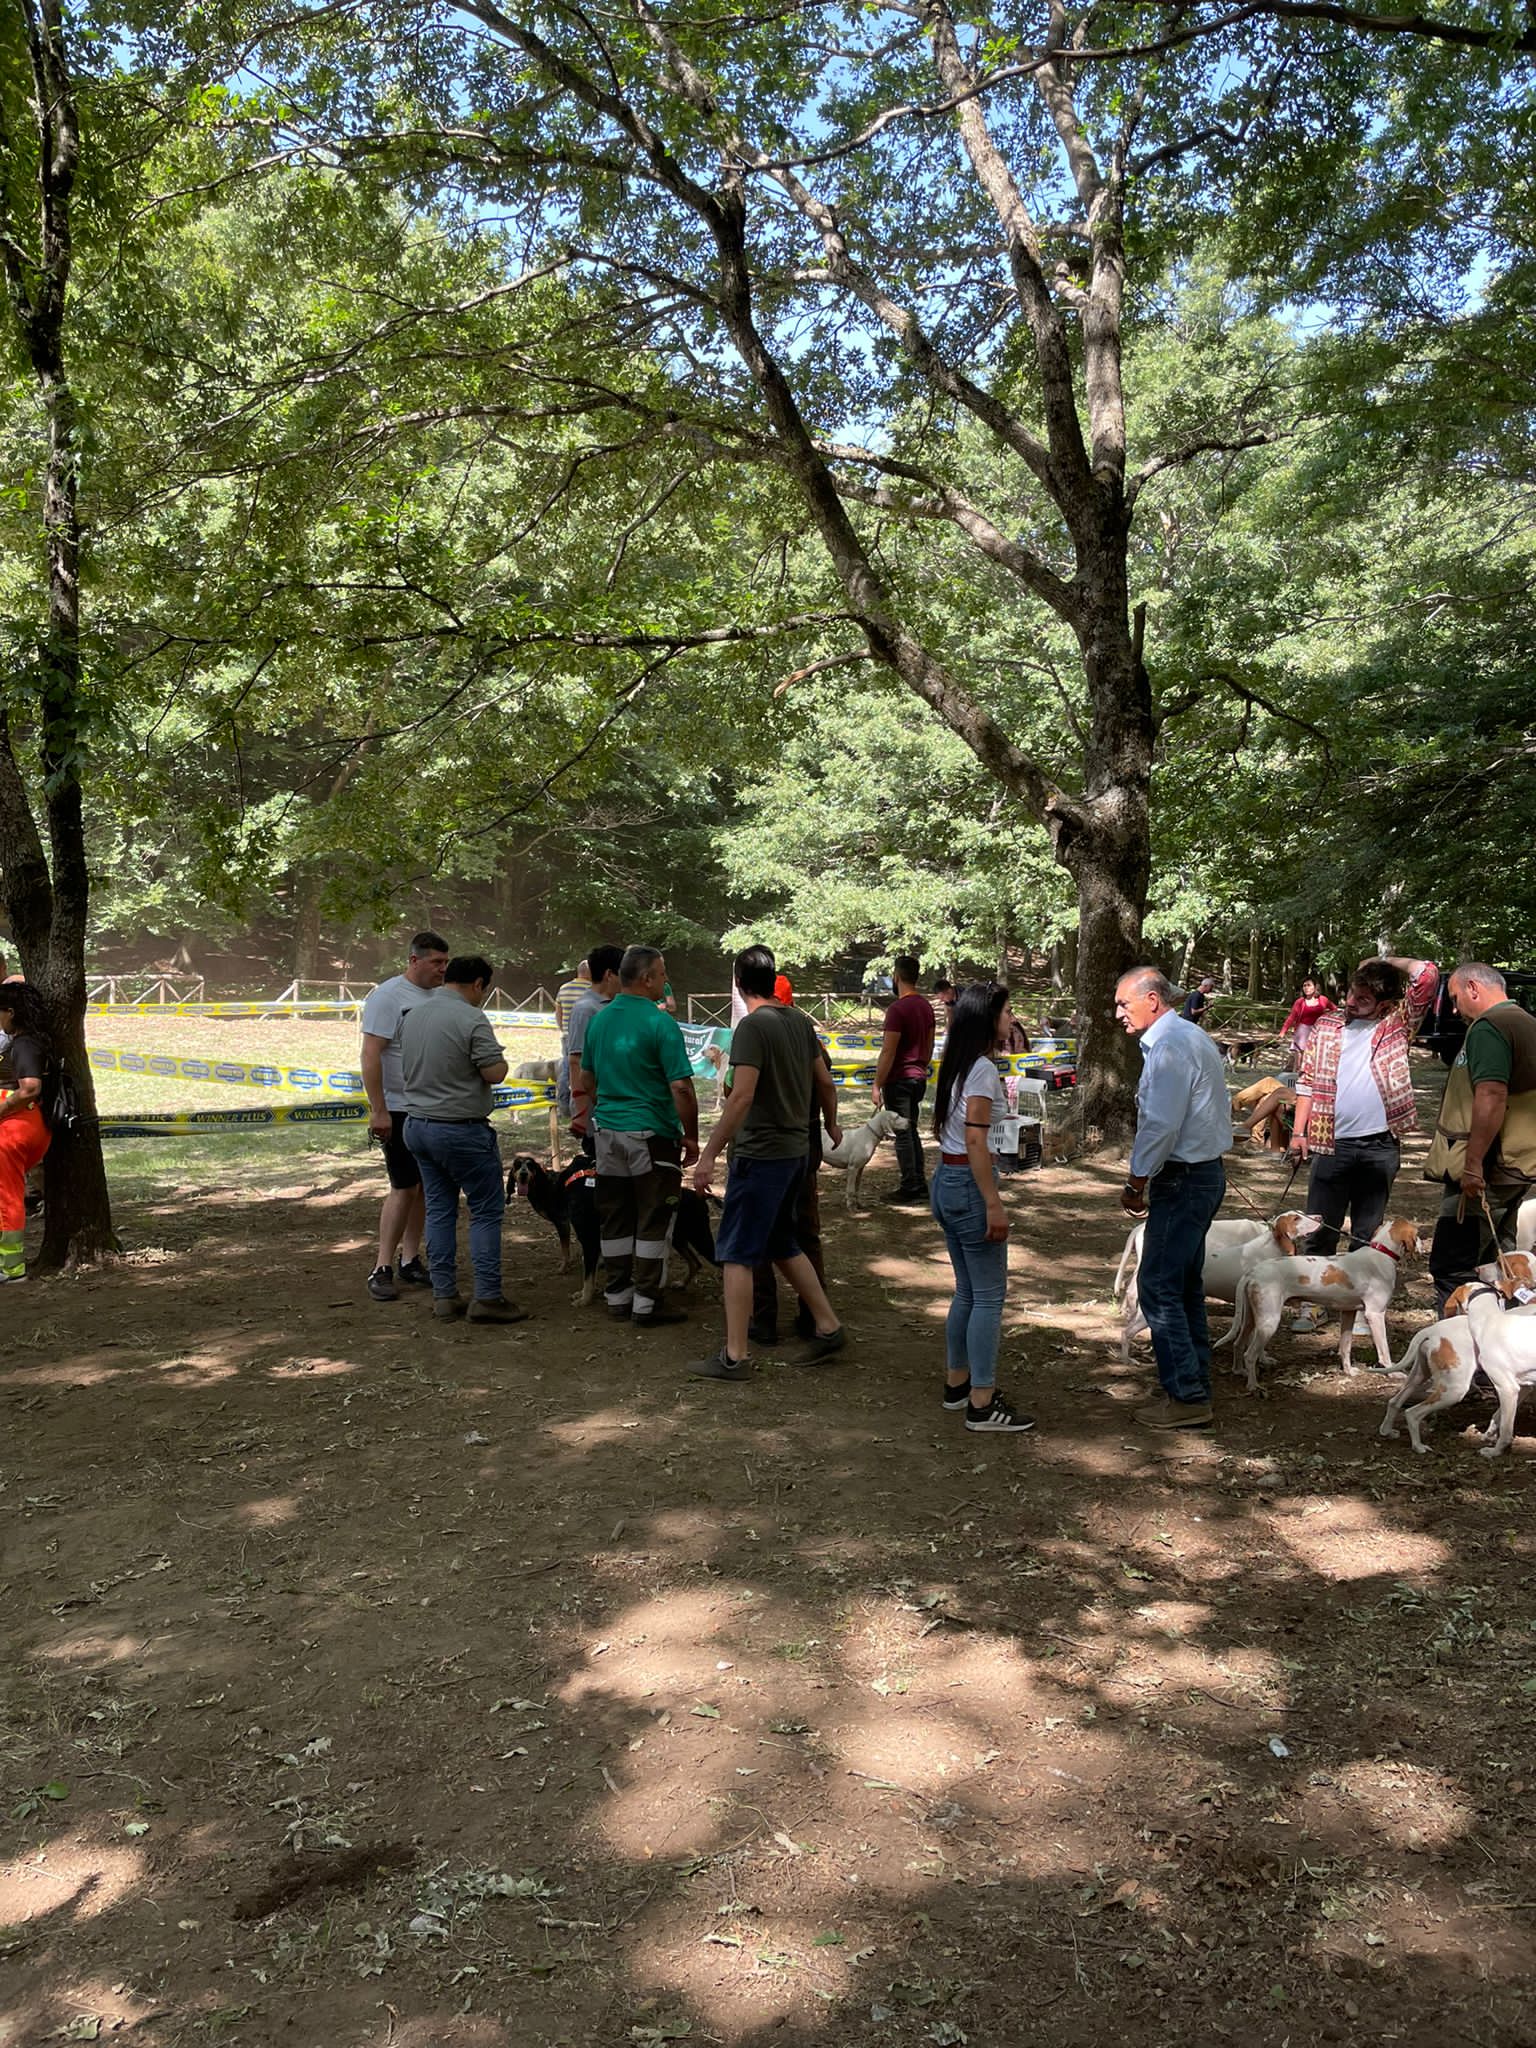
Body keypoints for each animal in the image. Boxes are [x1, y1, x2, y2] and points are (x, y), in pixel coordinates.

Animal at [1227, 1217, 1423, 1390]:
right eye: (1417, 1233)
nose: (1422, 1244)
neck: (1381, 1252)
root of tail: (1252, 1272)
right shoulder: (1375, 1315)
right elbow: (1384, 1352)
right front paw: (1393, 1373)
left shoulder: (1349, 1313)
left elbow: (1345, 1347)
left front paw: (1348, 1371)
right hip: (1269, 1322)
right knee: (1249, 1354)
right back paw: (1253, 1386)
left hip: (1252, 1320)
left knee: (1237, 1344)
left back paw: (1238, 1371)